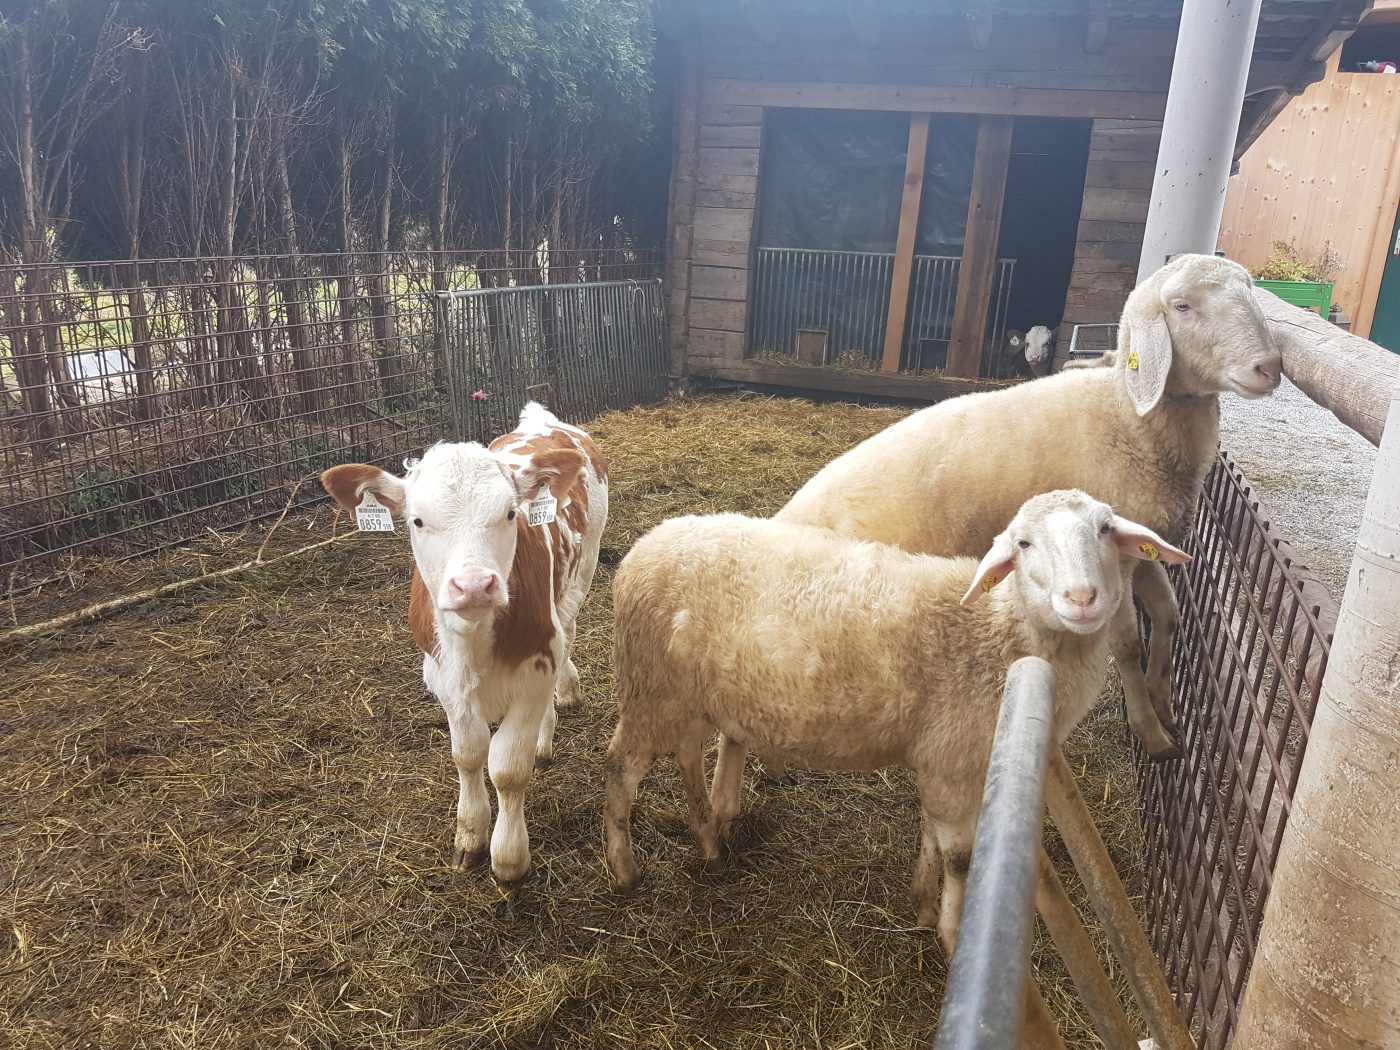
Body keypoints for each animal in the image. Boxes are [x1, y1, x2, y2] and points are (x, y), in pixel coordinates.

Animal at [603, 489, 1187, 948]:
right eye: (1023, 544)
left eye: (1106, 529)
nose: (1082, 598)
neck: (998, 633)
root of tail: (645, 546)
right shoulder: (954, 761)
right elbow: (960, 858)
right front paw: (951, 933)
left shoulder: (945, 759)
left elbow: (930, 833)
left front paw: (923, 903)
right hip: (650, 688)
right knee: (620, 770)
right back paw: (624, 868)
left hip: (688, 697)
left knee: (685, 756)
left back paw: (707, 839)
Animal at [773, 254, 1281, 760]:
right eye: (1182, 306)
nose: (1270, 366)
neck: (1125, 414)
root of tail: (783, 517)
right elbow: (1127, 646)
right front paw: (1151, 733)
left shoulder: (1140, 544)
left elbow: (1168, 614)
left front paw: (1163, 701)